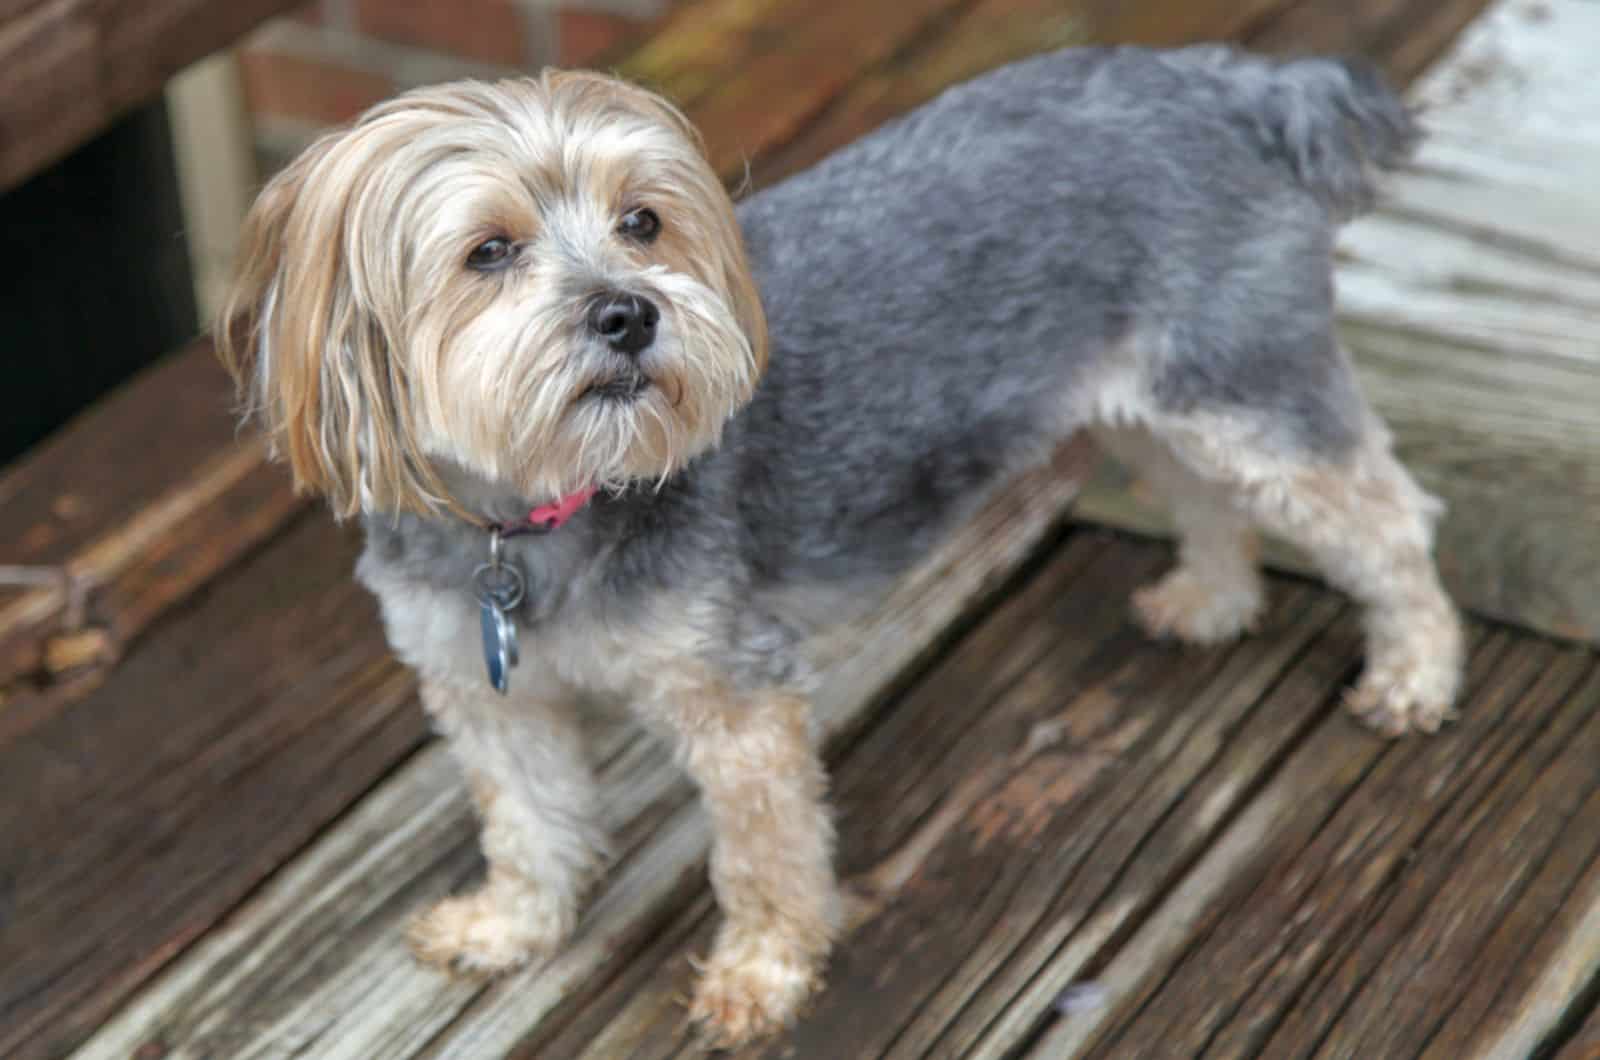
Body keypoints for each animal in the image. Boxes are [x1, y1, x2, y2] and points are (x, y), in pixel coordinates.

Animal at [219, 47, 1465, 1043]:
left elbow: (763, 857)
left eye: (642, 221)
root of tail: (1229, 83)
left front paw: (761, 978)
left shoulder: (736, 699)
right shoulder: (489, 692)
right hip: (1141, 402)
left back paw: (1413, 672)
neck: (542, 508)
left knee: (1382, 515)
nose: (629, 310)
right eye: (487, 251)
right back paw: (1208, 598)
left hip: (1244, 386)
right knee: (1203, 495)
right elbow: (528, 823)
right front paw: (510, 926)